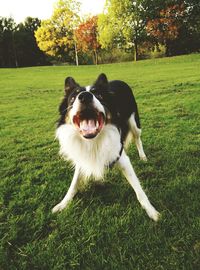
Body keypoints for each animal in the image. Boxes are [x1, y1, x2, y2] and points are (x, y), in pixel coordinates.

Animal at [52, 73, 159, 220]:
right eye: (73, 98)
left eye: (99, 95)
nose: (85, 96)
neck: (93, 140)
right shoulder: (82, 157)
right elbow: (73, 184)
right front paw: (63, 204)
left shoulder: (122, 157)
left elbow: (138, 189)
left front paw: (151, 211)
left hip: (134, 122)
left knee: (137, 139)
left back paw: (143, 156)